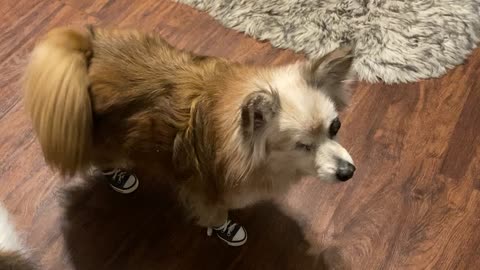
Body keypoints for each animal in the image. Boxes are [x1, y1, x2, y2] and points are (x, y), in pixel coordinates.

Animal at [23, 25, 356, 238]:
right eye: (302, 145)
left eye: (335, 127)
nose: (348, 172)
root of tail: (89, 51)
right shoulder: (207, 191)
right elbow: (217, 213)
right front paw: (224, 228)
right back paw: (118, 174)